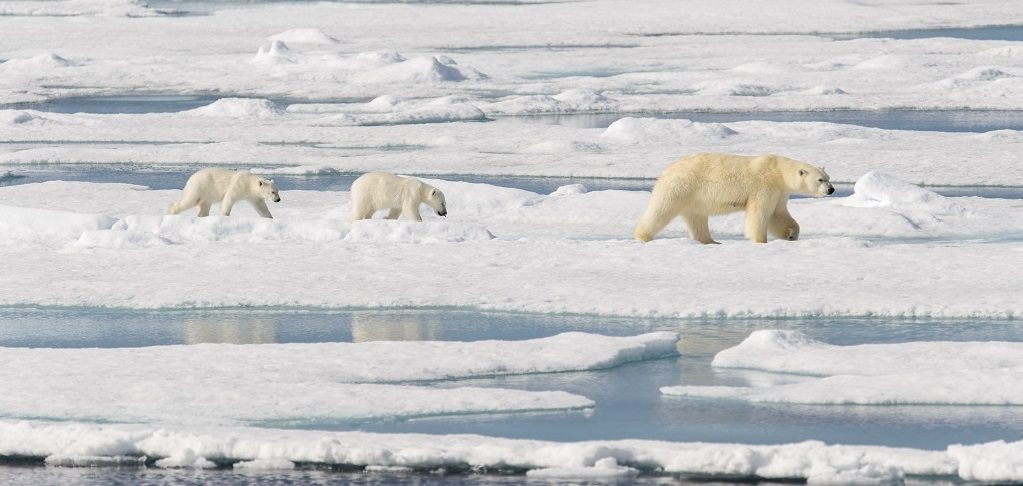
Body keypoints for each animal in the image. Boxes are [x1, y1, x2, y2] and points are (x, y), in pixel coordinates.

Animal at [634, 152, 834, 243]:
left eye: (829, 177)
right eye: (820, 179)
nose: (831, 190)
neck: (777, 171)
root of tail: (667, 170)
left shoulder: (779, 192)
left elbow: (778, 214)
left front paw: (791, 233)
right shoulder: (764, 186)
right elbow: (759, 213)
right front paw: (760, 240)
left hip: (695, 198)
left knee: (697, 218)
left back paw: (711, 241)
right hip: (681, 187)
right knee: (661, 210)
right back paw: (642, 235)